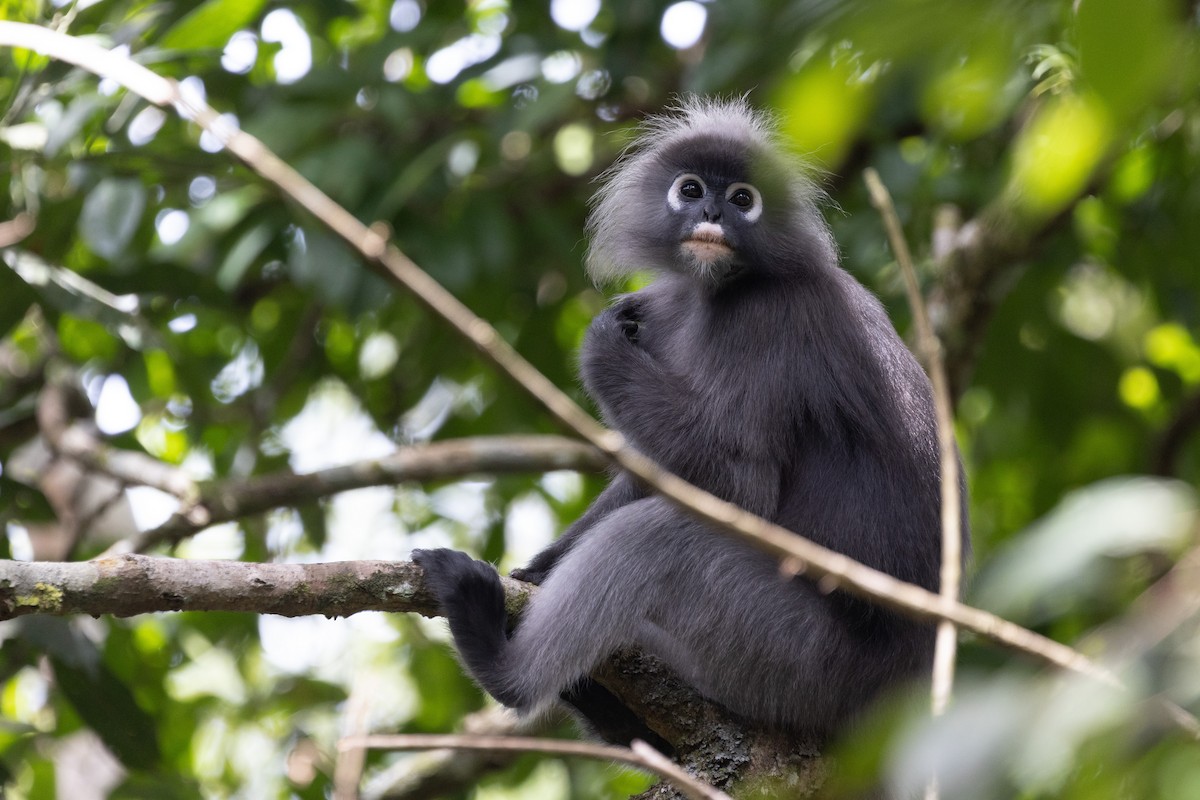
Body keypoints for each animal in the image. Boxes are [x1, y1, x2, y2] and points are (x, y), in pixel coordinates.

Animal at [413, 96, 968, 745]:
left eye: (743, 199)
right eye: (692, 188)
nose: (711, 212)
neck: (710, 294)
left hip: (802, 659)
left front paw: (602, 345)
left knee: (655, 539)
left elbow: (738, 484)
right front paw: (539, 568)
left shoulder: (770, 319)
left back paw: (503, 666)